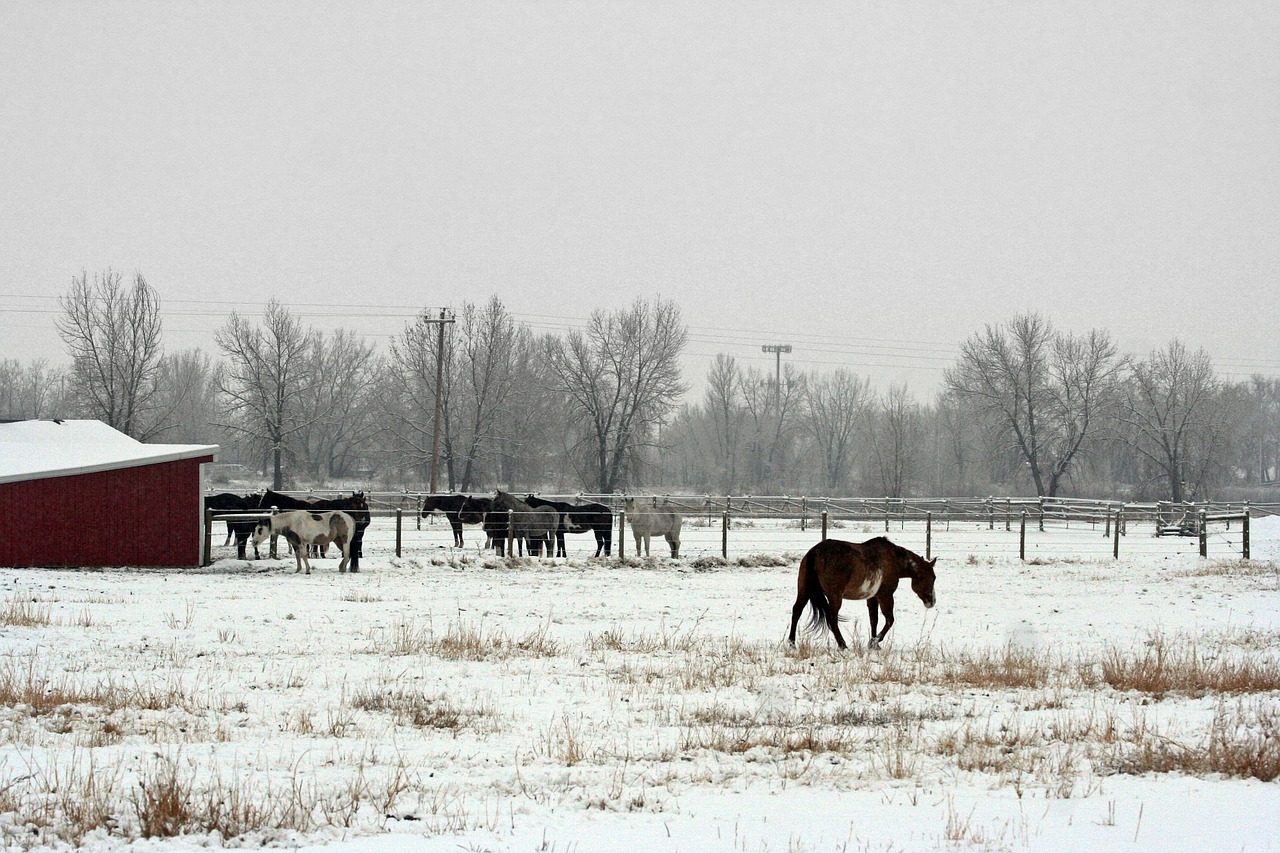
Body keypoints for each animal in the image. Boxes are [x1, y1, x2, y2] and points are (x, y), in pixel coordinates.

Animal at [783, 535, 936, 648]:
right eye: (932, 578)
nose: (932, 601)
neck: (892, 559)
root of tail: (814, 552)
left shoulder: (873, 597)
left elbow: (874, 620)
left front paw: (874, 644)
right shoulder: (885, 595)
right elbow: (889, 620)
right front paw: (875, 641)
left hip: (804, 590)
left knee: (797, 611)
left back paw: (792, 643)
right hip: (835, 597)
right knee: (832, 618)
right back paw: (842, 645)